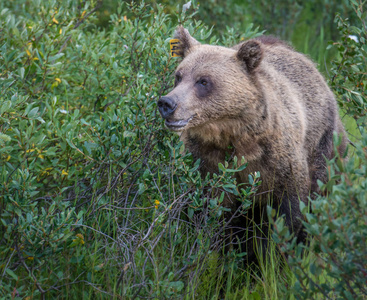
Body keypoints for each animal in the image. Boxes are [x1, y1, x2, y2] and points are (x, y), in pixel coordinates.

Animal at [157, 26, 348, 262]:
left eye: (203, 81)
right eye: (179, 76)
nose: (167, 103)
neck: (231, 135)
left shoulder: (277, 162)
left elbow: (289, 214)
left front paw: (271, 259)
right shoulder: (205, 161)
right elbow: (207, 213)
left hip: (324, 148)